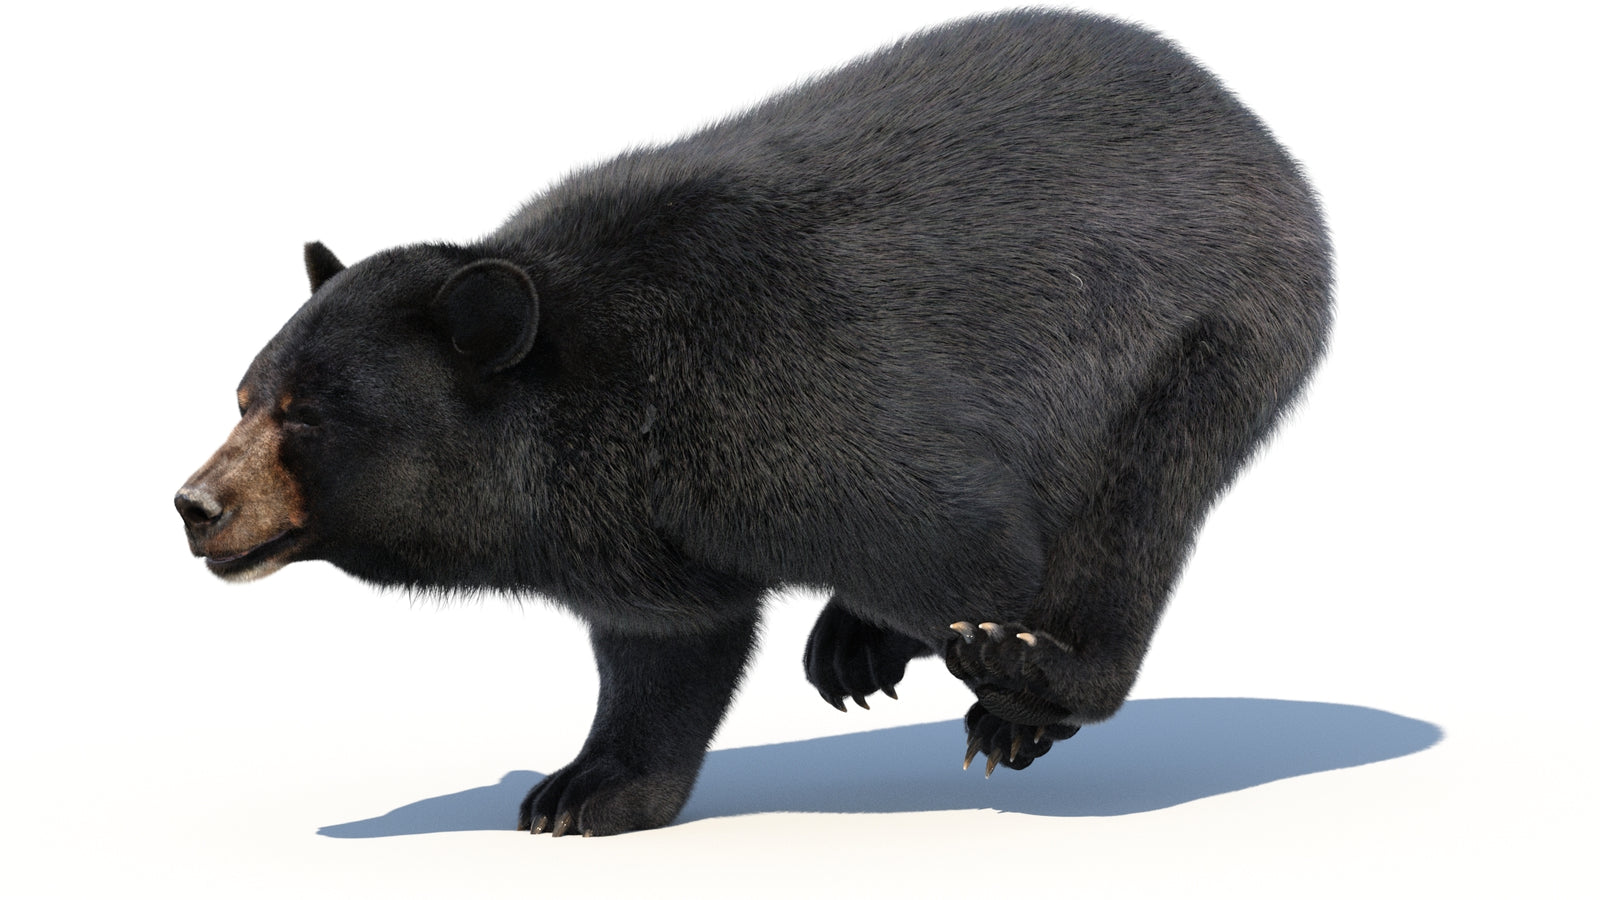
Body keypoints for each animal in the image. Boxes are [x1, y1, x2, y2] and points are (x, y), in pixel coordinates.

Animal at [175, 10, 1332, 837]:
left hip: (1204, 337)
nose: (195, 504)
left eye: (310, 414)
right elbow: (666, 648)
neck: (602, 399)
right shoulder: (638, 530)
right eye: (243, 396)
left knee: (1136, 504)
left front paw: (1016, 687)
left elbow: (966, 536)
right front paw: (585, 789)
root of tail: (1249, 125)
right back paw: (856, 643)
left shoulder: (790, 402)